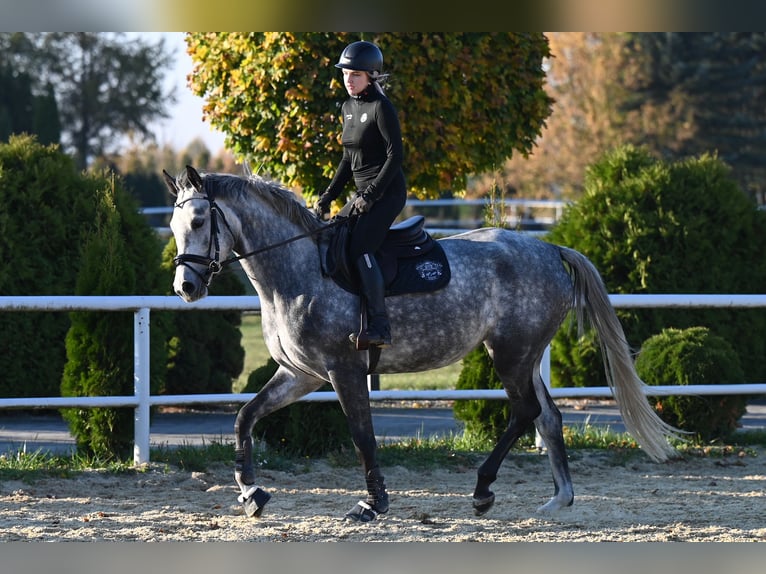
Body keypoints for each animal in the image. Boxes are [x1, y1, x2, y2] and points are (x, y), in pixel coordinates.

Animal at [160, 164, 680, 524]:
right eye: (174, 227)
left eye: (201, 221)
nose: (186, 287)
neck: (298, 270)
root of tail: (550, 249)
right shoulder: (301, 375)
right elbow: (244, 418)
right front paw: (251, 494)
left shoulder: (343, 370)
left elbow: (363, 437)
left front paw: (373, 504)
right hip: (525, 356)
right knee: (548, 417)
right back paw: (558, 499)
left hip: (510, 353)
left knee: (526, 412)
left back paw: (483, 490)